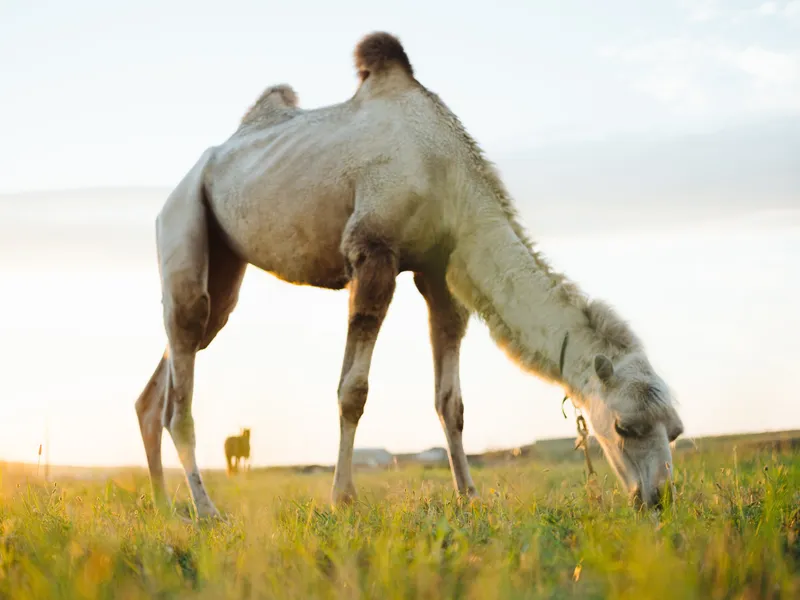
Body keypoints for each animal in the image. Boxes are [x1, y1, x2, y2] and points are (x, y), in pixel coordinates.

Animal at [134, 32, 684, 519]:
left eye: (676, 430)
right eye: (626, 426)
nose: (659, 499)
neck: (447, 175)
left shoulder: (441, 273)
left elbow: (451, 401)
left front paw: (469, 496)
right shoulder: (373, 251)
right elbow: (353, 391)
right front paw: (343, 499)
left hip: (224, 265)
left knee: (165, 378)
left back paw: (165, 509)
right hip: (183, 218)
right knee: (181, 379)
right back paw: (207, 512)